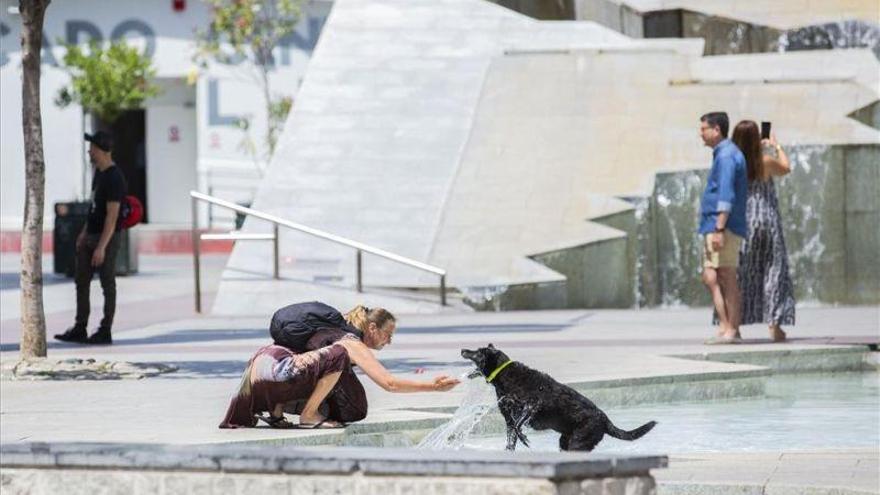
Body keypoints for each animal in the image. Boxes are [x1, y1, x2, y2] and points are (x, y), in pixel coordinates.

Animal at [460, 344, 652, 454]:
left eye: (477, 352)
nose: (462, 350)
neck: (505, 374)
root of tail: (606, 420)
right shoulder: (509, 419)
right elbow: (511, 437)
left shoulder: (532, 405)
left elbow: (518, 427)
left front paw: (525, 439)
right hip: (565, 441)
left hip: (578, 442)